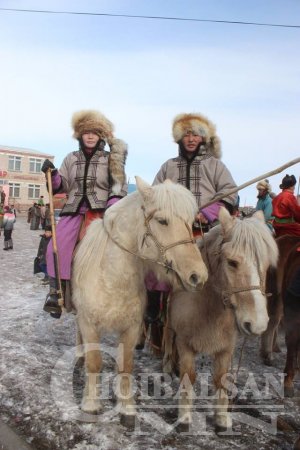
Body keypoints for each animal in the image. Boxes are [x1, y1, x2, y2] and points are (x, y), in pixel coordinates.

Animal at [72, 177, 209, 426]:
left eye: (191, 222)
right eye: (162, 220)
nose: (198, 276)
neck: (112, 279)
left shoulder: (132, 328)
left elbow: (126, 365)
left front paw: (127, 408)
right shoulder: (89, 324)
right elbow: (94, 362)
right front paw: (90, 405)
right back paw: (79, 353)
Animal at [163, 207, 278, 432]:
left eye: (267, 265)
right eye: (232, 262)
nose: (258, 323)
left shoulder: (227, 347)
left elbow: (221, 379)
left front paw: (222, 417)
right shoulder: (185, 343)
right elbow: (188, 376)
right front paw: (184, 416)